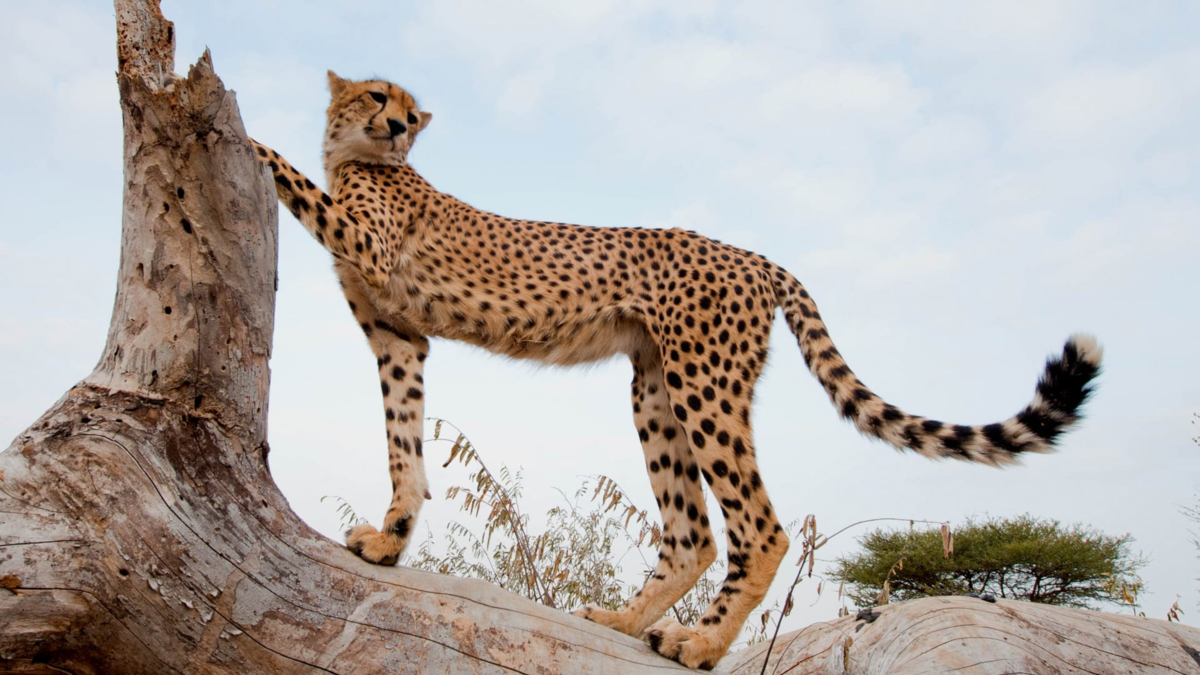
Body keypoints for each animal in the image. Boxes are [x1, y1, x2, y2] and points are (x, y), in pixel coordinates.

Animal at [248, 70, 1099, 662]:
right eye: (376, 96)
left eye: (407, 110)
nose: (397, 124)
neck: (360, 157)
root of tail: (756, 255)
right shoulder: (400, 336)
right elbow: (404, 440)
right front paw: (390, 539)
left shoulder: (369, 253)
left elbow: (291, 175)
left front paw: (240, 129)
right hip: (655, 388)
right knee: (693, 532)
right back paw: (625, 619)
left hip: (704, 384)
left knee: (762, 528)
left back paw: (699, 644)